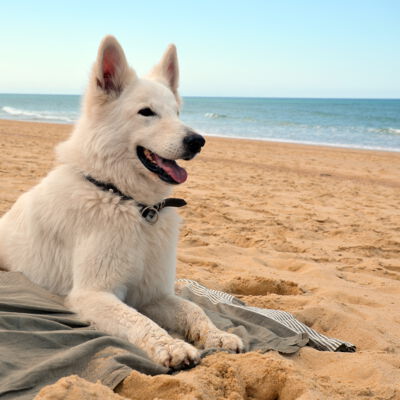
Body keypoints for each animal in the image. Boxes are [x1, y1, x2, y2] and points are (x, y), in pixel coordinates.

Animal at [0, 36, 242, 368]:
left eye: (177, 113)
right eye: (146, 112)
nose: (197, 141)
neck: (129, 202)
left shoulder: (153, 294)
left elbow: (194, 309)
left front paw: (218, 335)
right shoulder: (94, 294)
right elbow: (139, 321)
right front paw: (172, 346)